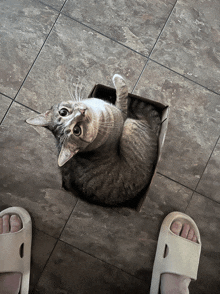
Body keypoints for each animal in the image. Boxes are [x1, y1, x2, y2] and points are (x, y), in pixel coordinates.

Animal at [26, 74, 161, 206]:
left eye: (63, 112)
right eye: (77, 130)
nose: (82, 111)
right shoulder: (122, 115)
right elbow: (122, 96)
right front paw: (118, 79)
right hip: (130, 124)